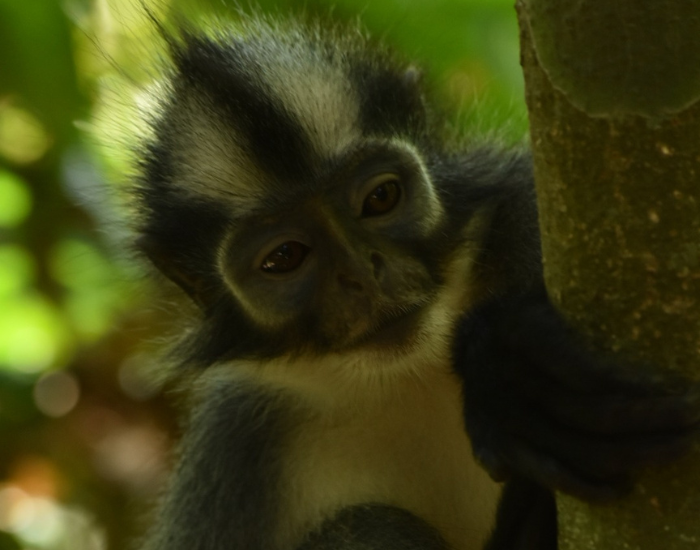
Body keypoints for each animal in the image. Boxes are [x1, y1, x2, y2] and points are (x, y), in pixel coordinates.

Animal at [125, 13, 700, 550]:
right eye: (284, 257)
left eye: (380, 198)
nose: (362, 273)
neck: (406, 374)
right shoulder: (234, 453)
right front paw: (515, 382)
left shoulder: (522, 208)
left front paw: (507, 370)